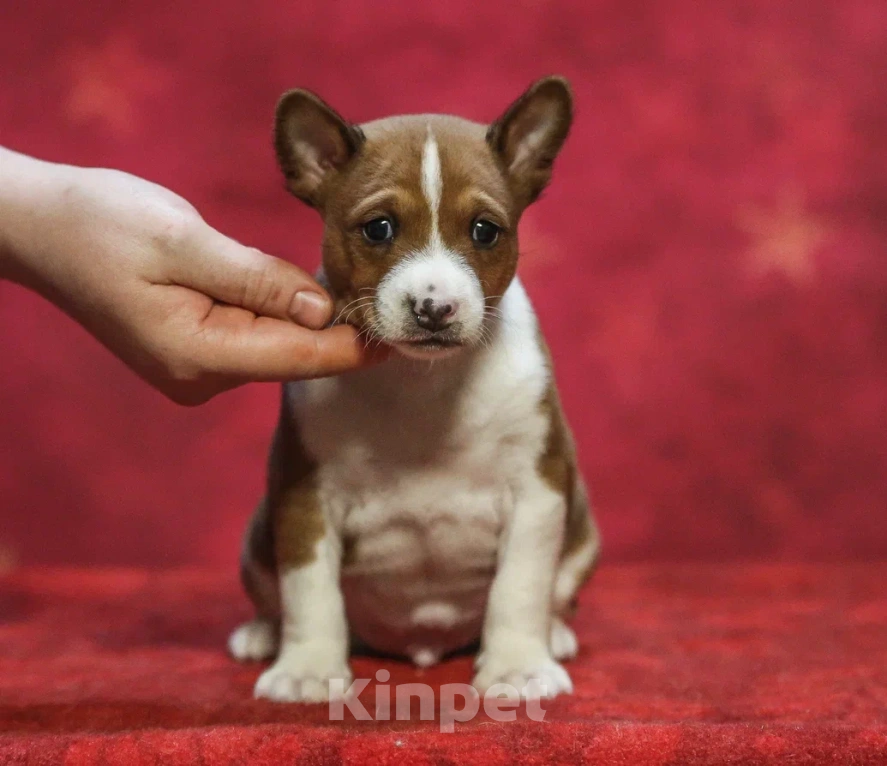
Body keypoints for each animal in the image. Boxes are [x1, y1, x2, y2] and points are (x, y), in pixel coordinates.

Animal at [229, 76, 604, 704]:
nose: (435, 308)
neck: (422, 383)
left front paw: (517, 666)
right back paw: (263, 633)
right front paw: (308, 667)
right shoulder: (304, 497)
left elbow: (520, 587)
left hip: (580, 533)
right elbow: (311, 592)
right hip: (259, 535)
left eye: (484, 231)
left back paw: (555, 634)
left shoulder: (538, 491)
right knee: (273, 595)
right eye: (378, 228)